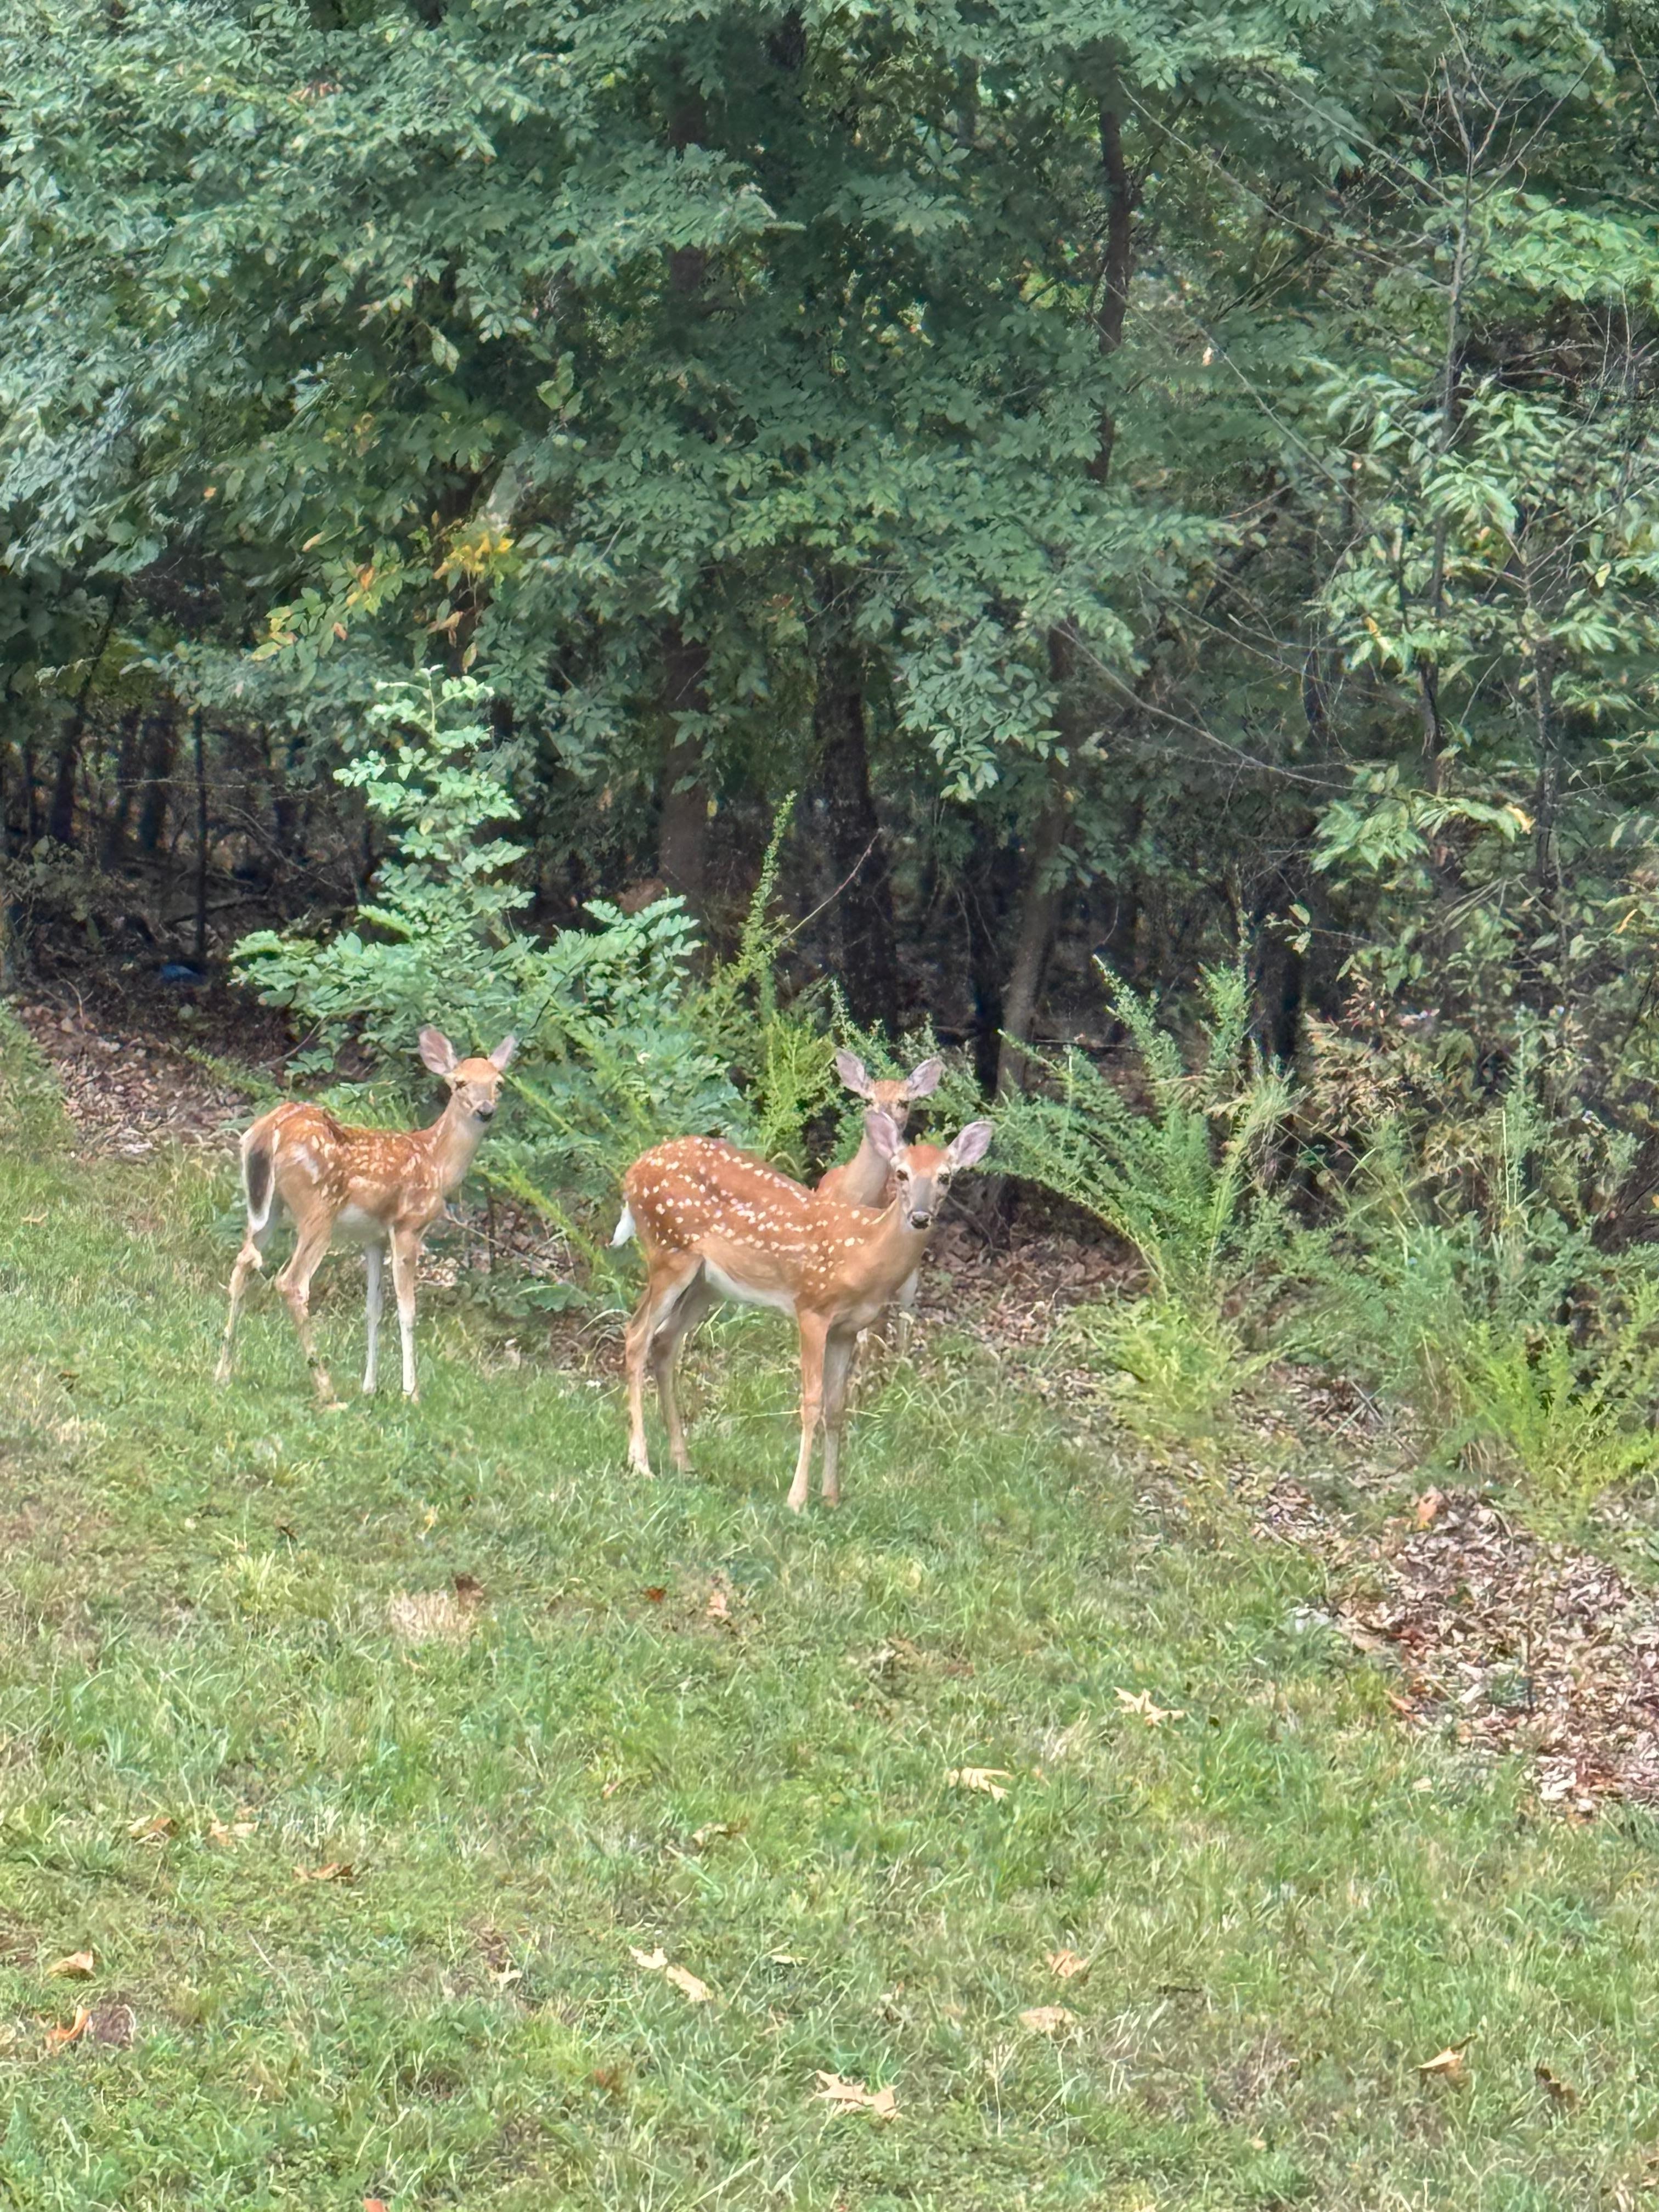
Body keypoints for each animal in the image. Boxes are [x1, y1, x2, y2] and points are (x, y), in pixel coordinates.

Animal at [215, 1027, 516, 1405]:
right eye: (460, 1082)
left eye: (499, 1083)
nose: (486, 1110)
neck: (436, 1161)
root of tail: (269, 1130)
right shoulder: (408, 1225)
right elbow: (407, 1310)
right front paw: (411, 1392)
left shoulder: (374, 1238)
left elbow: (373, 1309)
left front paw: (370, 1386)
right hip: (318, 1209)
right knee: (291, 1283)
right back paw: (326, 1389)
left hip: (267, 1207)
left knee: (244, 1263)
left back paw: (224, 1372)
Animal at [613, 1107, 993, 1511]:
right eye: (901, 1173)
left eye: (945, 1177)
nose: (920, 1216)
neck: (865, 1253)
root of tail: (633, 1171)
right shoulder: (812, 1308)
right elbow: (811, 1403)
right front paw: (796, 1499)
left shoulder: (848, 1328)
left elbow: (836, 1408)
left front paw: (831, 1496)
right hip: (669, 1251)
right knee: (637, 1334)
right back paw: (641, 1463)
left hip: (706, 1282)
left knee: (665, 1341)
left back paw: (683, 1461)